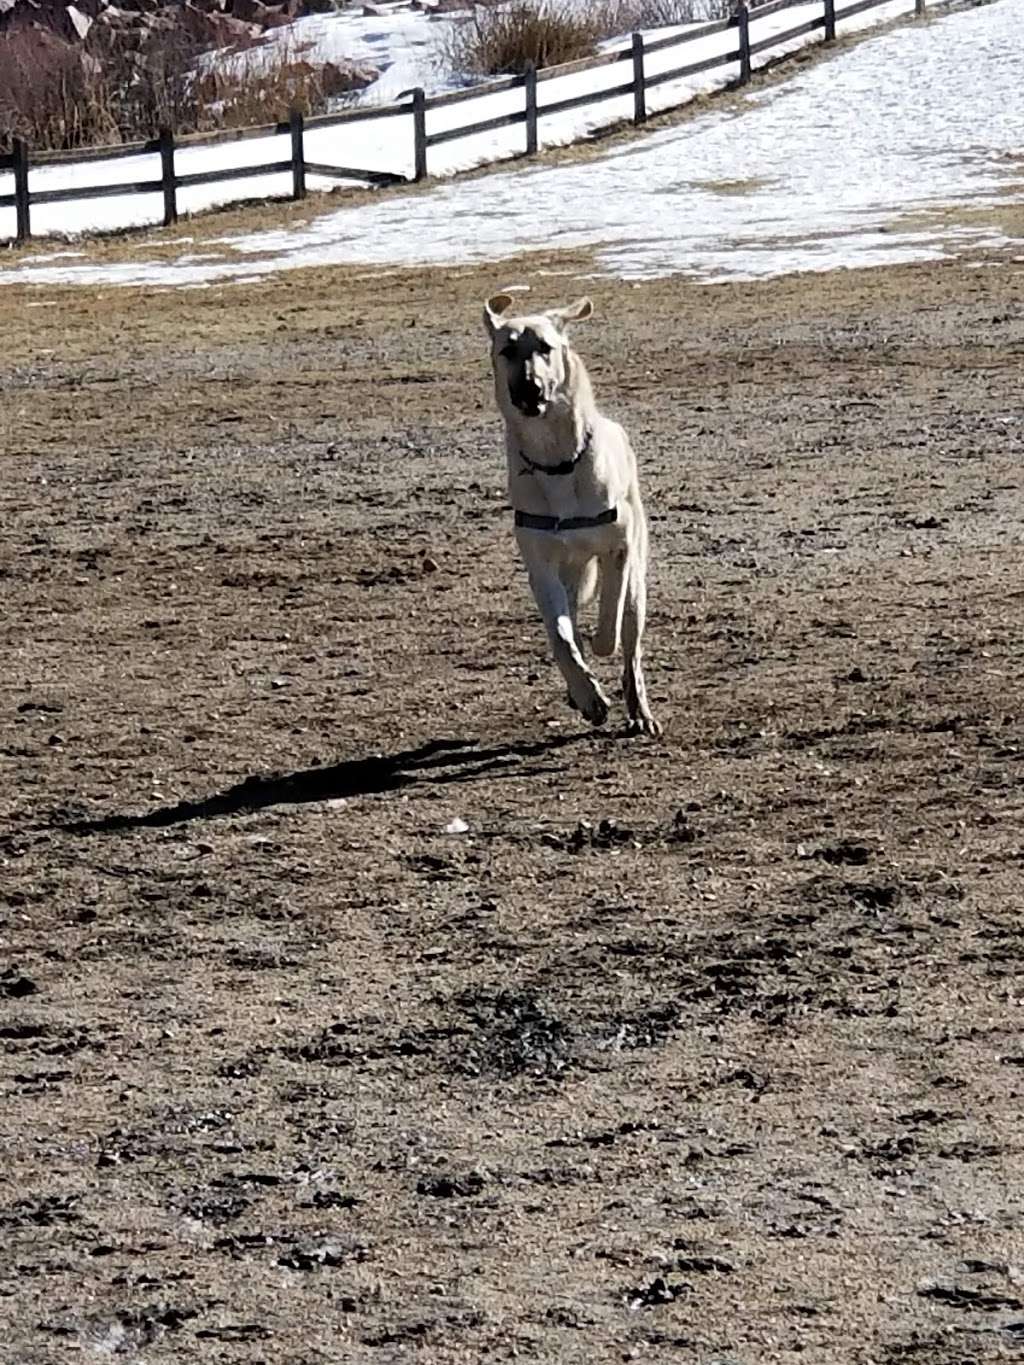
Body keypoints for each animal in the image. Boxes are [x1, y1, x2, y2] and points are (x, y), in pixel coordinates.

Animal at [486, 290, 660, 737]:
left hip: (637, 582)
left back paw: (640, 711)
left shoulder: (618, 548)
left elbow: (610, 616)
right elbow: (561, 637)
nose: (529, 388)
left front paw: (600, 649)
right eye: (507, 350)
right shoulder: (541, 567)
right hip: (569, 573)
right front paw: (586, 694)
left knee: (631, 648)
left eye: (546, 348)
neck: (557, 462)